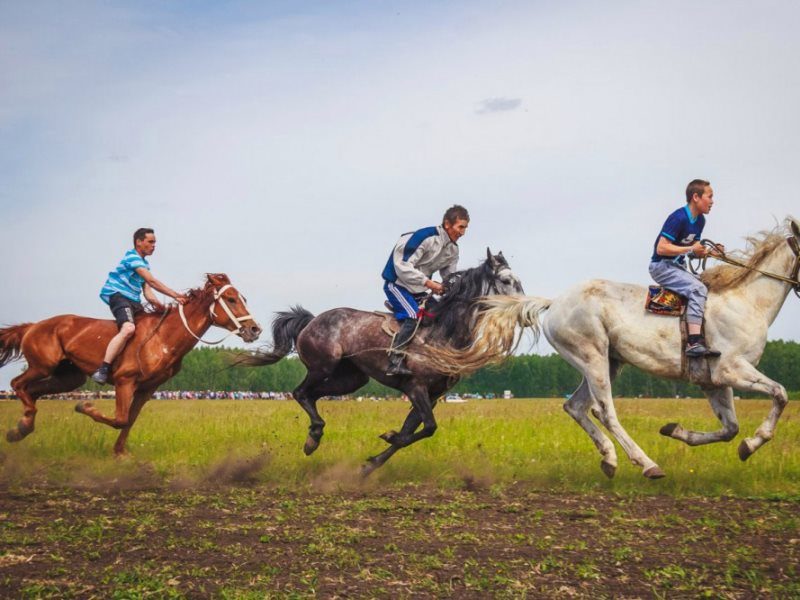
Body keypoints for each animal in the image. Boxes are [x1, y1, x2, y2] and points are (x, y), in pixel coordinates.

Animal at [0, 274, 260, 454]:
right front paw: (84, 406)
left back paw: (20, 428)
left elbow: (130, 420)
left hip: (69, 377)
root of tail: (32, 326)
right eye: (231, 299)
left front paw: (120, 452)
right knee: (17, 384)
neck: (162, 339)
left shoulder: (148, 388)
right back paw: (23, 425)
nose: (255, 329)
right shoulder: (124, 381)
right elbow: (120, 418)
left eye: (244, 299)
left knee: (32, 391)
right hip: (42, 366)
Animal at [238, 248, 524, 474]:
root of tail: (312, 320)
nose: (523, 308)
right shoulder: (416, 387)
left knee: (312, 395)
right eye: (506, 280)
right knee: (300, 392)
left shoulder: (432, 395)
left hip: (351, 379)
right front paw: (386, 440)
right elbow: (427, 427)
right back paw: (313, 439)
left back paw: (314, 436)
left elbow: (411, 432)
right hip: (323, 366)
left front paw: (373, 461)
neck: (444, 333)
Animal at [428, 218, 800, 480]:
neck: (748, 302)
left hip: (607, 362)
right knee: (604, 410)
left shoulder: (714, 382)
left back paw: (609, 459)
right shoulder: (732, 369)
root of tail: (555, 302)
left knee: (575, 407)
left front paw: (678, 431)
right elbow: (779, 393)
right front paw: (753, 442)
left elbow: (730, 428)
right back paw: (647, 463)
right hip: (593, 357)